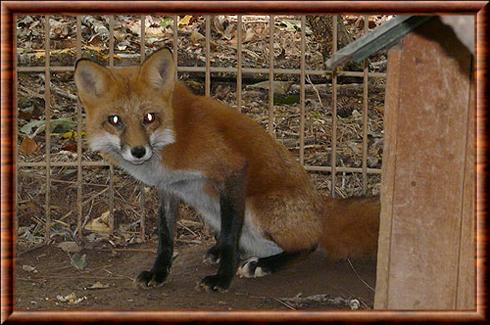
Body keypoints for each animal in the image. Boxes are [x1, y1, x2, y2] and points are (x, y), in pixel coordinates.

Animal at [73, 48, 378, 292]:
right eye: (115, 120)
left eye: (149, 118)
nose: (138, 151)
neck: (172, 137)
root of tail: (322, 204)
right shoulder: (169, 188)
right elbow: (166, 237)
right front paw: (159, 273)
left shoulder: (232, 170)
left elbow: (232, 237)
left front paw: (222, 279)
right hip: (210, 208)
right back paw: (222, 252)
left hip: (254, 207)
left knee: (308, 244)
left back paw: (264, 264)